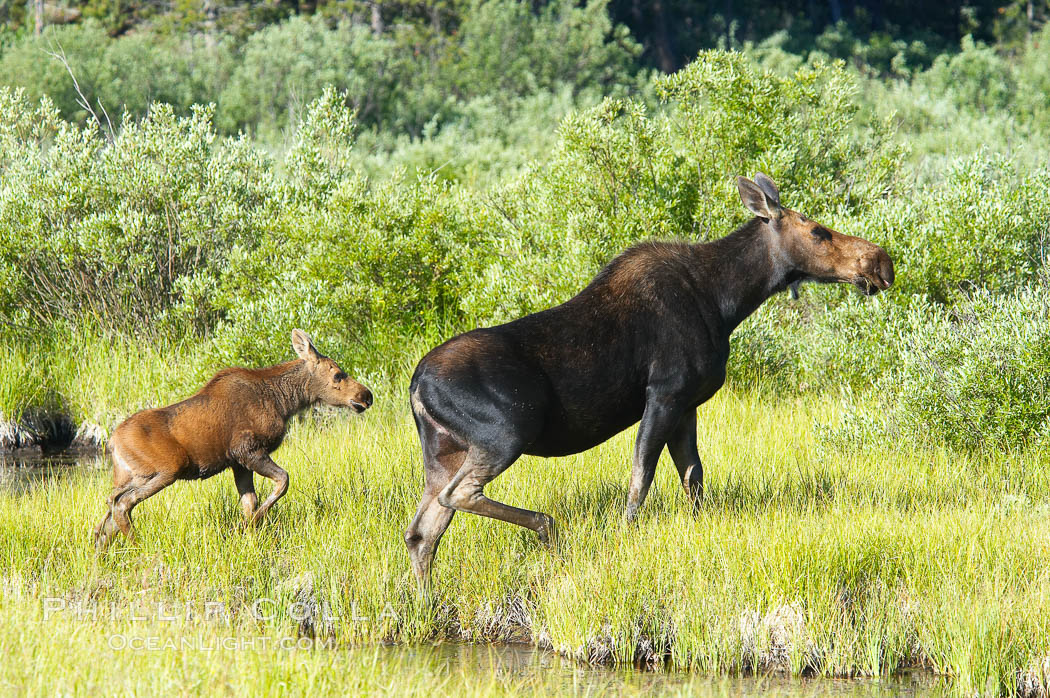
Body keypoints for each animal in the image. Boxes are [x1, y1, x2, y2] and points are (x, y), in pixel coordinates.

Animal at [95, 329, 373, 545]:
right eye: (337, 374)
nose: (366, 396)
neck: (285, 402)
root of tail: (112, 442)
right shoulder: (247, 450)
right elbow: (282, 482)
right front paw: (248, 525)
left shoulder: (238, 463)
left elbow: (249, 502)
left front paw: (248, 533)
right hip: (166, 469)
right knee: (122, 503)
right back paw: (138, 545)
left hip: (129, 475)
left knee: (109, 506)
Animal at [405, 174, 890, 583]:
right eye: (818, 231)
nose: (881, 262)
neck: (728, 301)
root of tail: (415, 386)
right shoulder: (666, 394)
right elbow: (641, 478)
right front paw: (623, 535)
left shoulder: (689, 404)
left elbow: (693, 477)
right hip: (507, 432)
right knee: (456, 497)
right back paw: (547, 528)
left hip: (444, 450)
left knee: (420, 532)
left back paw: (427, 601)